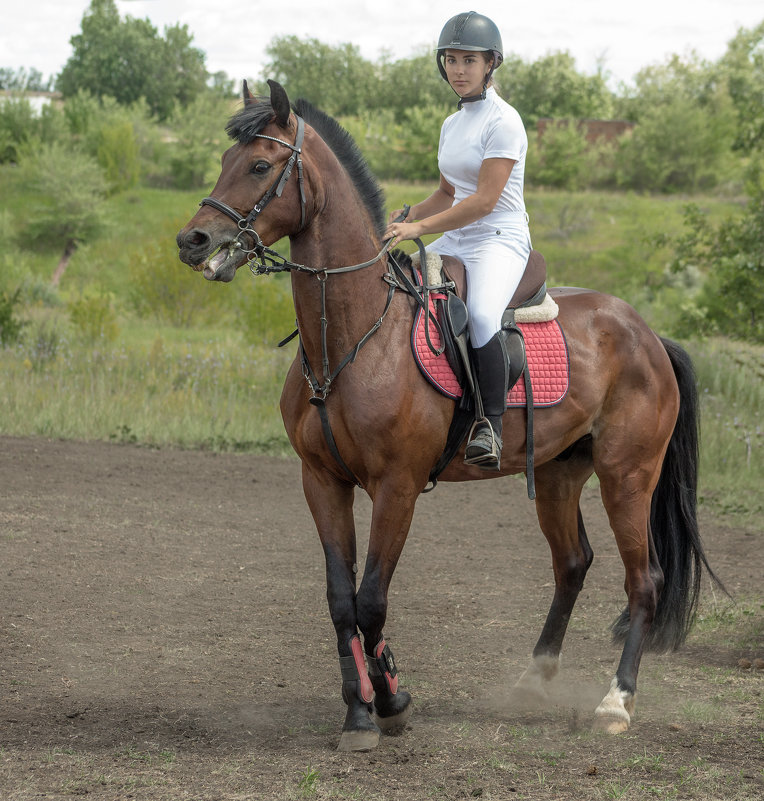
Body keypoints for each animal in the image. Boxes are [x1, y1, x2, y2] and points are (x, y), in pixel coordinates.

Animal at [176, 81, 720, 752]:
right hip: (560, 474)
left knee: (644, 579)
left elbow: (371, 599)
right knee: (572, 565)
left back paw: (614, 703)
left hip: (628, 476)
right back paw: (531, 681)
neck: (354, 336)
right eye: (225, 161)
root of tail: (646, 333)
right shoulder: (321, 481)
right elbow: (340, 600)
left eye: (257, 166)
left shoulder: (397, 487)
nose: (193, 242)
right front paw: (359, 714)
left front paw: (391, 701)